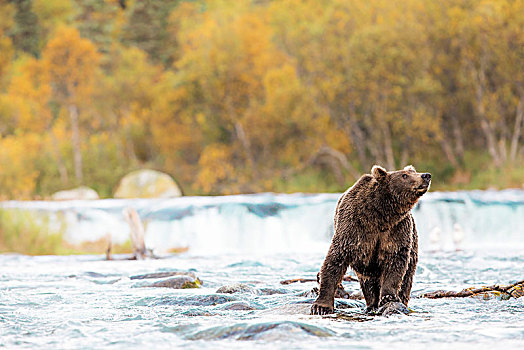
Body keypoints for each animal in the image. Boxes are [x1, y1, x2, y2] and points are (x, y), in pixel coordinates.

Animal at [312, 164, 430, 314]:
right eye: (404, 175)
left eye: (412, 172)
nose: (426, 175)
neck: (380, 215)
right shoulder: (353, 228)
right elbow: (335, 260)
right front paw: (321, 306)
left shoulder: (397, 229)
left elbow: (395, 262)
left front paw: (388, 297)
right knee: (368, 281)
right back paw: (372, 303)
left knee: (407, 278)